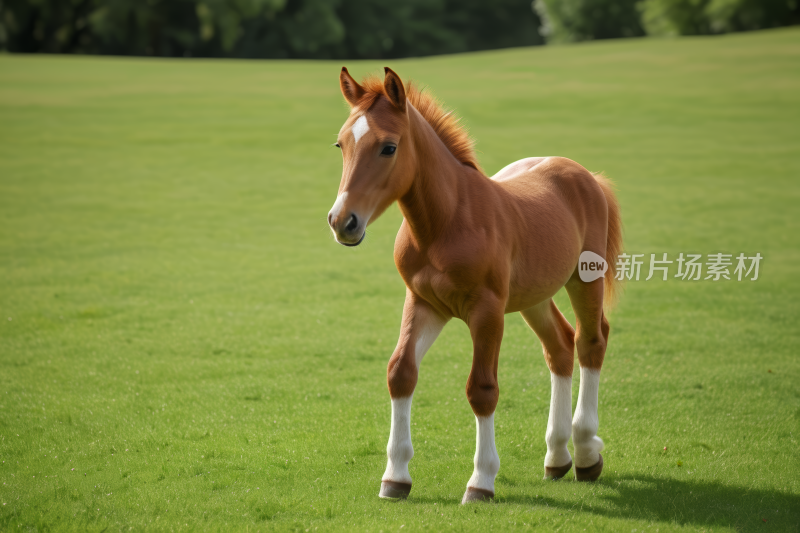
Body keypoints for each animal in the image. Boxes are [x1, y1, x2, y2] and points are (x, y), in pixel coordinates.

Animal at [326, 66, 624, 502]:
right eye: (341, 144)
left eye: (388, 147)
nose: (342, 221)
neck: (445, 223)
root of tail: (587, 175)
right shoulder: (423, 303)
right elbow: (400, 372)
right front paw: (395, 477)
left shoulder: (487, 311)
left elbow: (481, 389)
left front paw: (481, 481)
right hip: (533, 296)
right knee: (559, 346)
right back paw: (557, 457)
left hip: (584, 278)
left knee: (590, 341)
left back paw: (586, 454)